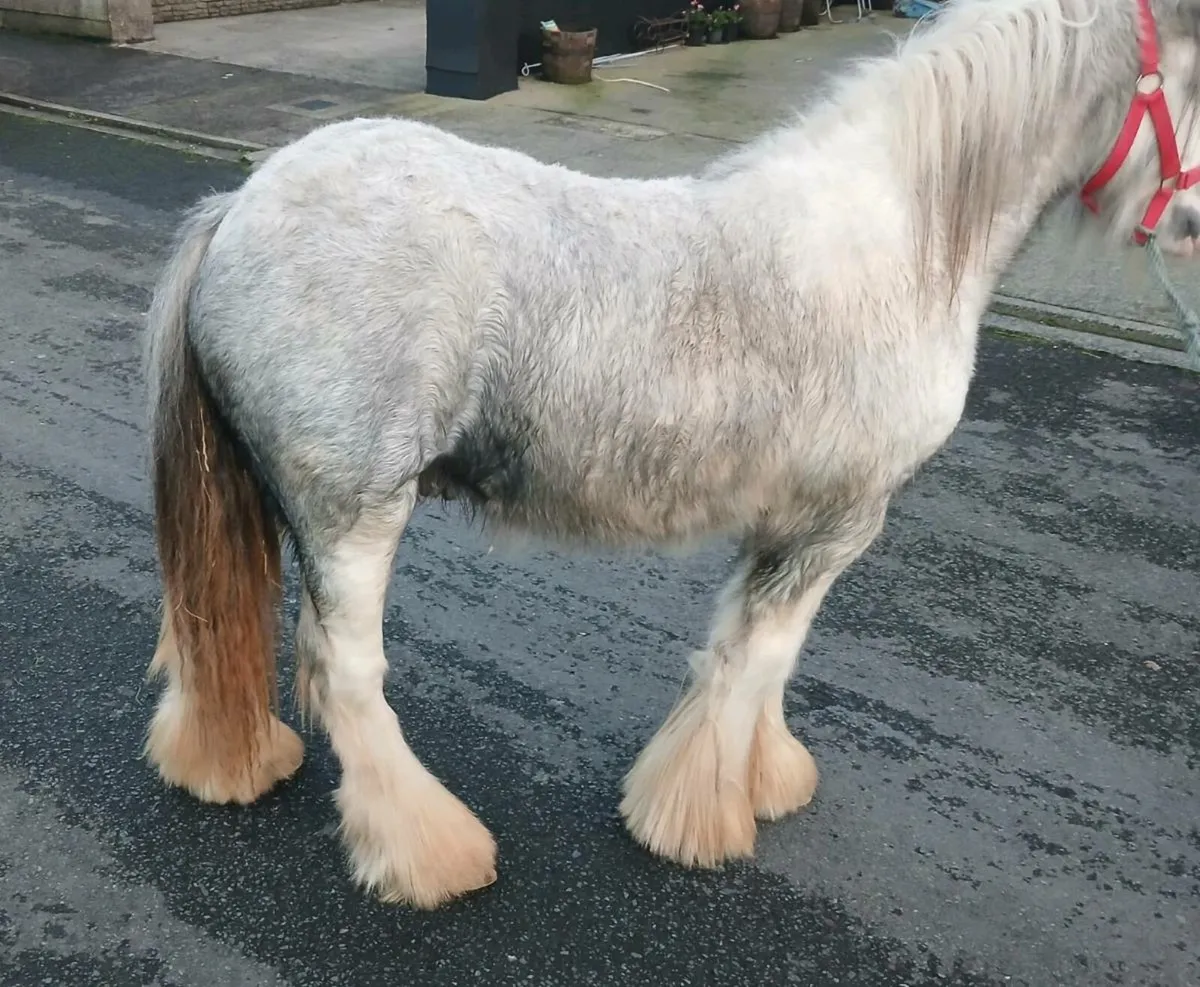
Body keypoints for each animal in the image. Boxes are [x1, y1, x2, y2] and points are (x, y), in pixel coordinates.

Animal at [141, 0, 1200, 908]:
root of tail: (242, 204)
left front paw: (760, 778)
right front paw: (699, 821)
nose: (1191, 235)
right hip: (355, 513)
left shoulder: (790, 528)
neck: (902, 239)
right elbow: (755, 659)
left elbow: (752, 655)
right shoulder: (839, 522)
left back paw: (235, 765)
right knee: (347, 674)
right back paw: (429, 853)